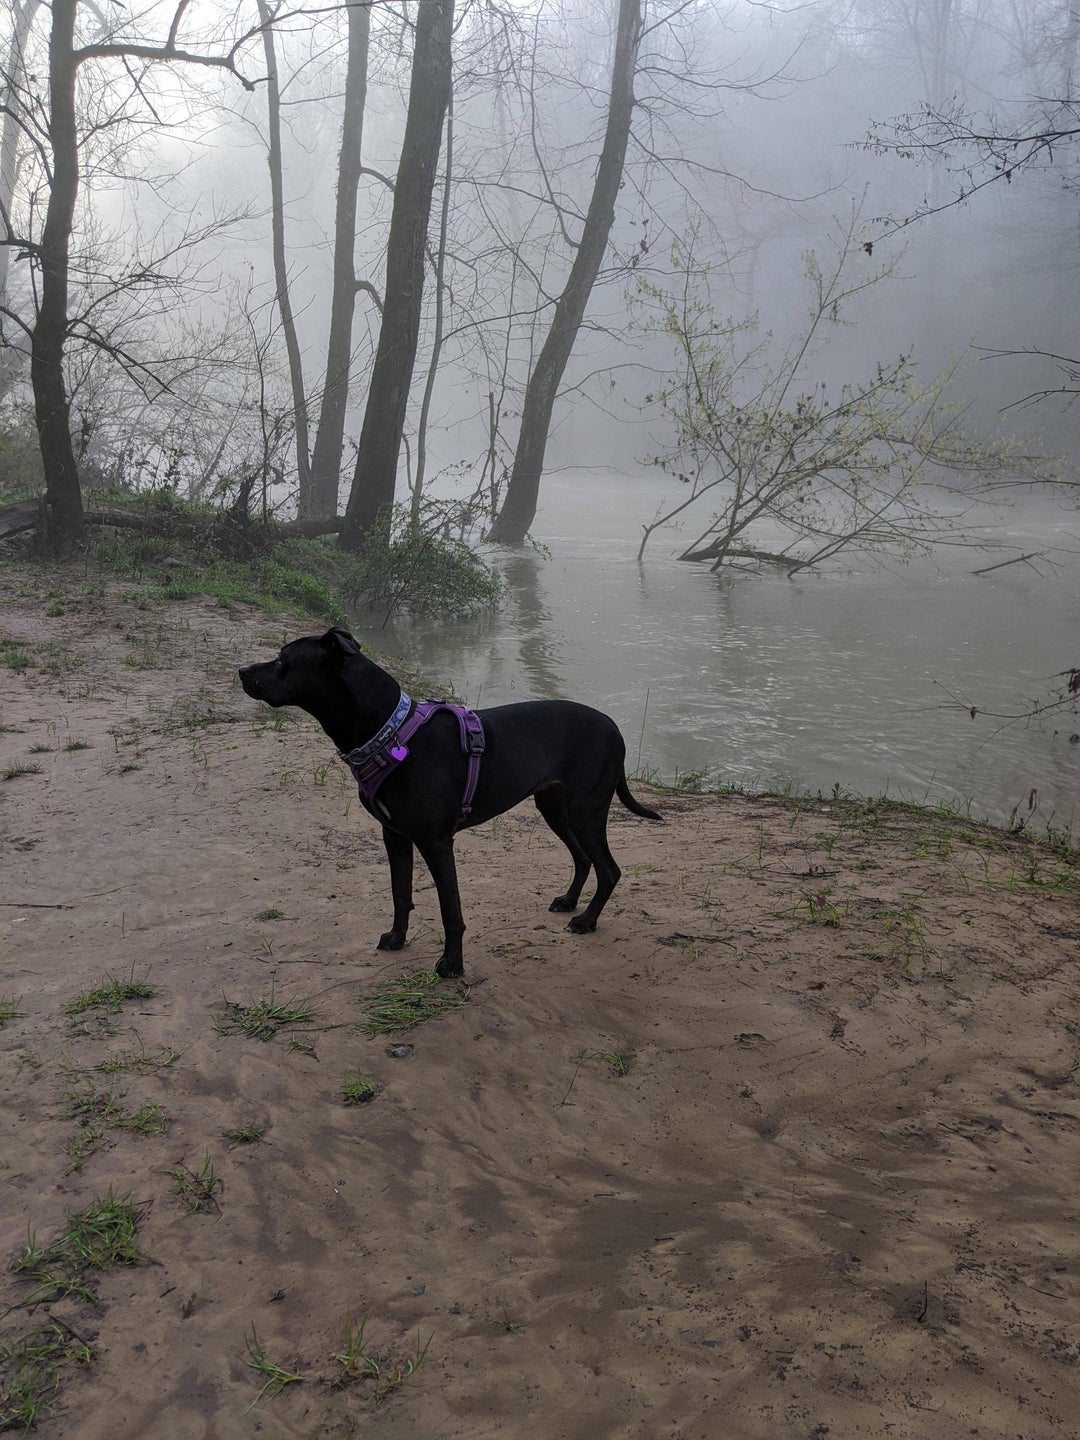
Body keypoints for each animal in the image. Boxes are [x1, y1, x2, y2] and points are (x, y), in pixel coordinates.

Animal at [239, 624, 659, 973]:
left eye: (283, 661)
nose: (242, 671)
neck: (390, 734)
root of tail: (614, 727)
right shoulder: (394, 836)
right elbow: (400, 893)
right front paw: (397, 938)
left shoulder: (436, 842)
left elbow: (449, 910)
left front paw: (452, 964)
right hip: (555, 807)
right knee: (583, 858)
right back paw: (570, 902)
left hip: (585, 810)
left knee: (609, 869)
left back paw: (586, 921)